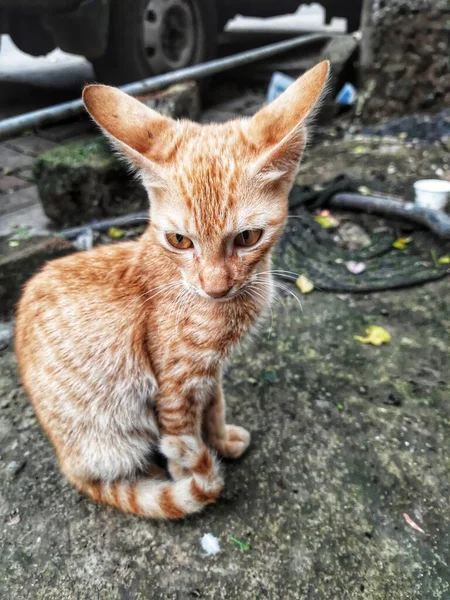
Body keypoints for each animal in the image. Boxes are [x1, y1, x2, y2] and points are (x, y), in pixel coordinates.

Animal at [15, 63, 328, 516]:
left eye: (248, 237)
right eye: (180, 240)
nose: (214, 288)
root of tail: (66, 463)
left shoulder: (210, 372)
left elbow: (214, 407)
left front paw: (222, 441)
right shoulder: (175, 385)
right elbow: (184, 438)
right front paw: (189, 477)